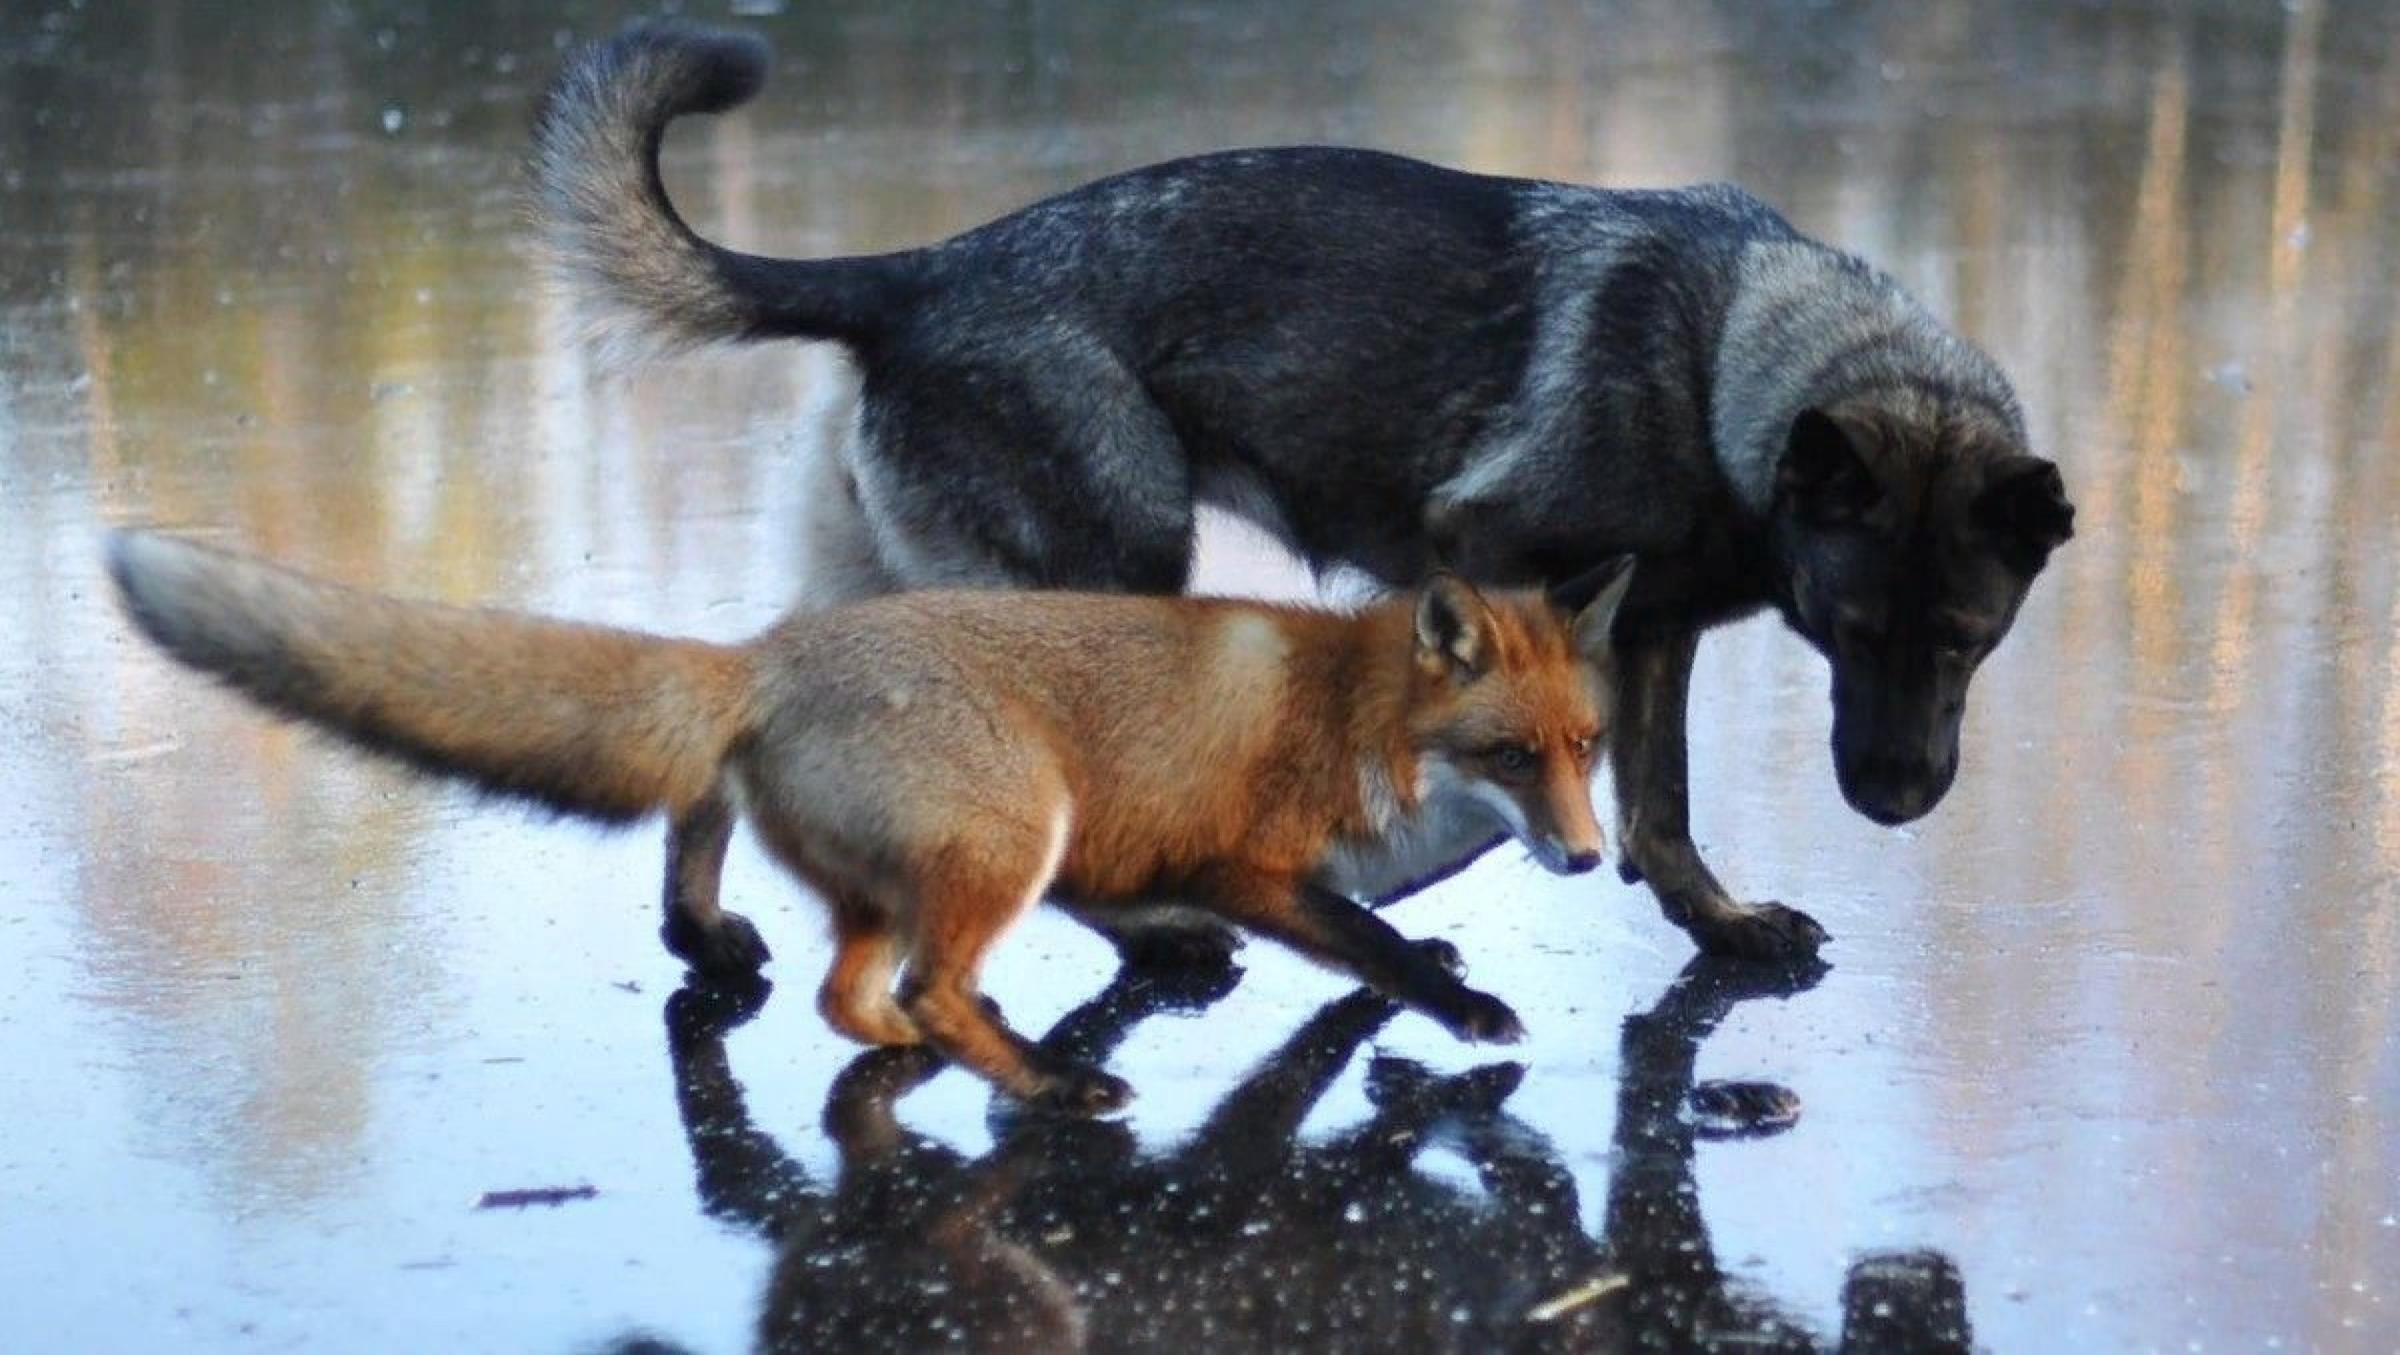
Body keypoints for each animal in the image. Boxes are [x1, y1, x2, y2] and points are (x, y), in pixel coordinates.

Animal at [108, 527, 1632, 1107]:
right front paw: (1463, 1005)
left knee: (854, 992)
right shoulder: (1235, 854)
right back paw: (1047, 1078)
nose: (1589, 856)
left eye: (1588, 749)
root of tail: (769, 653)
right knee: (924, 984)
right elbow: (1361, 942)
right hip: (1015, 826)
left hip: (908, 875)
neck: (1357, 720)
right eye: (1509, 753)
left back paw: (921, 1044)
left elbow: (1367, 942)